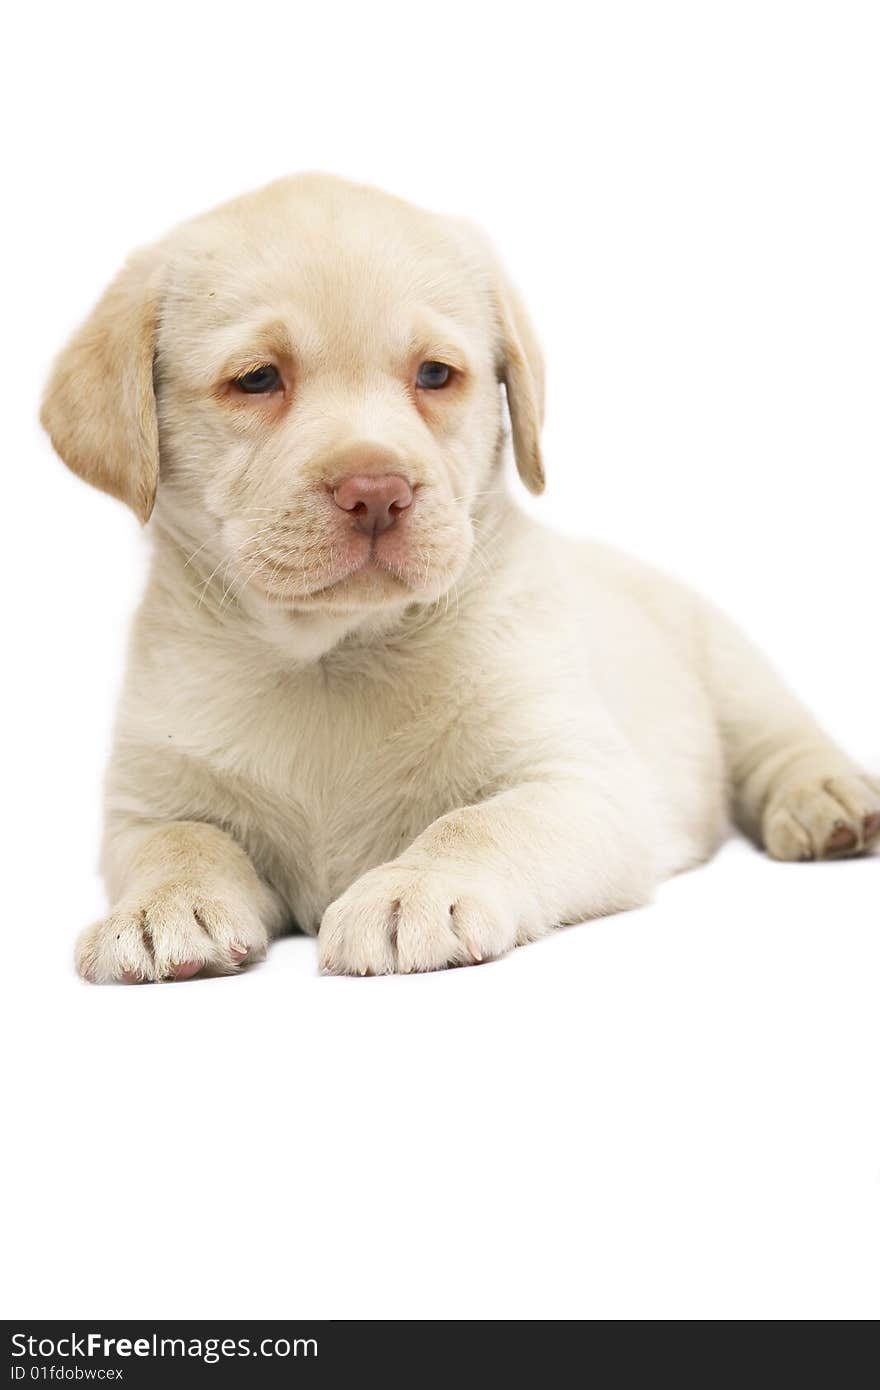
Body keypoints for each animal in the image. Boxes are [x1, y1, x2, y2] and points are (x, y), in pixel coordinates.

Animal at [42, 170, 878, 978]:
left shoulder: (579, 782)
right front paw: (162, 907)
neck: (331, 658)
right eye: (256, 380)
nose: (376, 491)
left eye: (436, 374)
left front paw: (414, 889)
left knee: (779, 737)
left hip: (724, 661)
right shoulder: (147, 801)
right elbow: (178, 841)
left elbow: (479, 822)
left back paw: (827, 797)